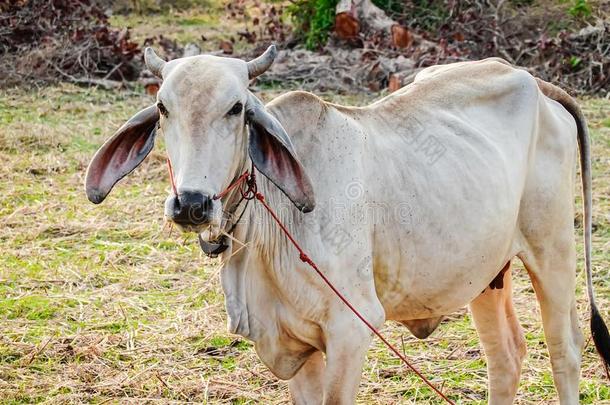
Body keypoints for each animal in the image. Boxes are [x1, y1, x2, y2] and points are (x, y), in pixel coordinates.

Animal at [83, 45, 604, 402]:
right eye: (164, 108)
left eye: (236, 108)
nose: (191, 203)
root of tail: (531, 80)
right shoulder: (296, 346)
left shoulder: (352, 328)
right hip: (487, 272)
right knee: (505, 357)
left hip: (553, 250)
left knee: (565, 349)